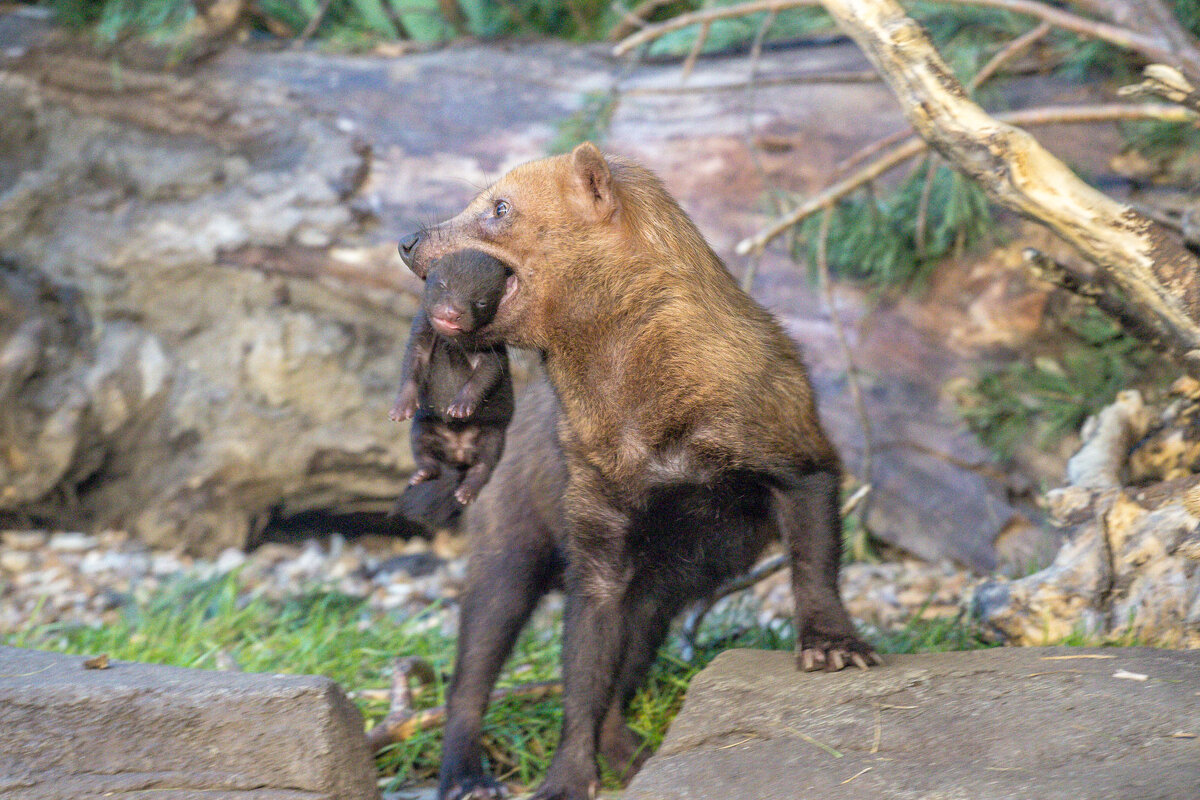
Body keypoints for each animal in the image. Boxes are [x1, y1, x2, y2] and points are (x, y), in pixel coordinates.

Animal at [388, 250, 511, 503]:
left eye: (481, 301)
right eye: (443, 284)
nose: (453, 312)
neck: (452, 343)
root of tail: (458, 451)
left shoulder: (492, 351)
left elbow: (485, 375)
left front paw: (461, 405)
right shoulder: (421, 334)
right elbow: (411, 366)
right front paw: (401, 406)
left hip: (491, 434)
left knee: (484, 464)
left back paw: (467, 490)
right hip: (423, 428)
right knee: (426, 456)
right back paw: (421, 474)